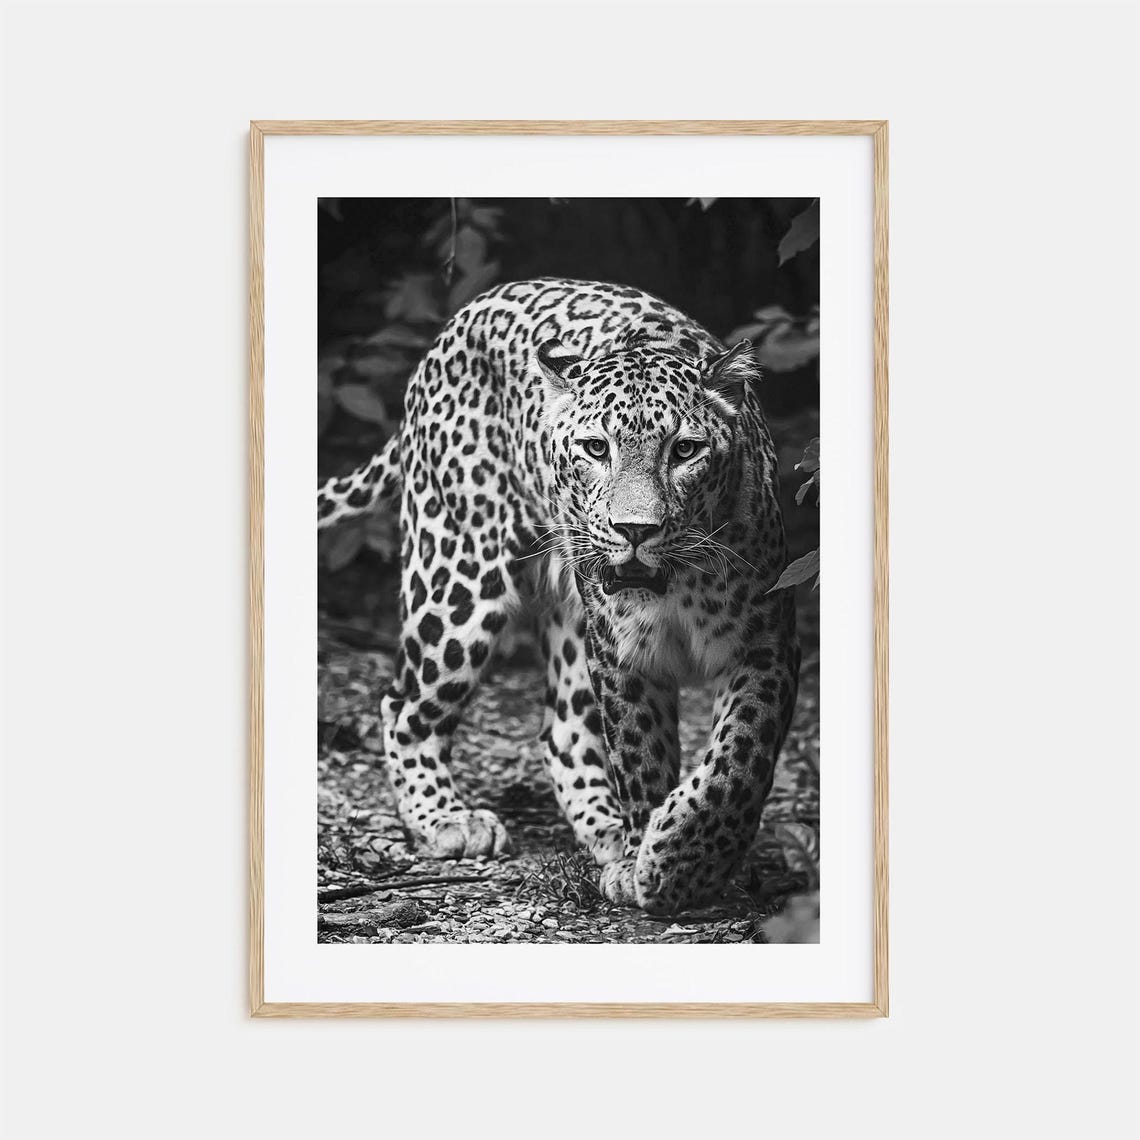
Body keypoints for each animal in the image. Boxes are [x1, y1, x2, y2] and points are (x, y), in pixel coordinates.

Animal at [318, 278, 800, 914]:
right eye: (596, 449)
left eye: (685, 451)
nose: (635, 530)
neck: (678, 584)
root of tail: (456, 324)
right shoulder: (621, 655)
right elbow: (641, 757)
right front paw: (655, 862)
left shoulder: (765, 644)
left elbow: (738, 759)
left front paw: (681, 859)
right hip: (457, 581)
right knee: (403, 704)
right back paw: (448, 820)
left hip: (569, 619)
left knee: (563, 731)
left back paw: (605, 831)